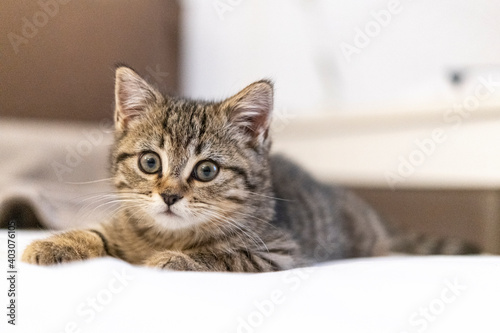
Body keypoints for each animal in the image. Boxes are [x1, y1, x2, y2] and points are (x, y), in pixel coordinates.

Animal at [21, 66, 476, 272]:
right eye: (150, 162)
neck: (168, 233)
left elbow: (219, 255)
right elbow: (98, 232)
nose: (169, 195)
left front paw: (171, 259)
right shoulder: (122, 225)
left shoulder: (276, 252)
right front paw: (55, 243)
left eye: (206, 171)